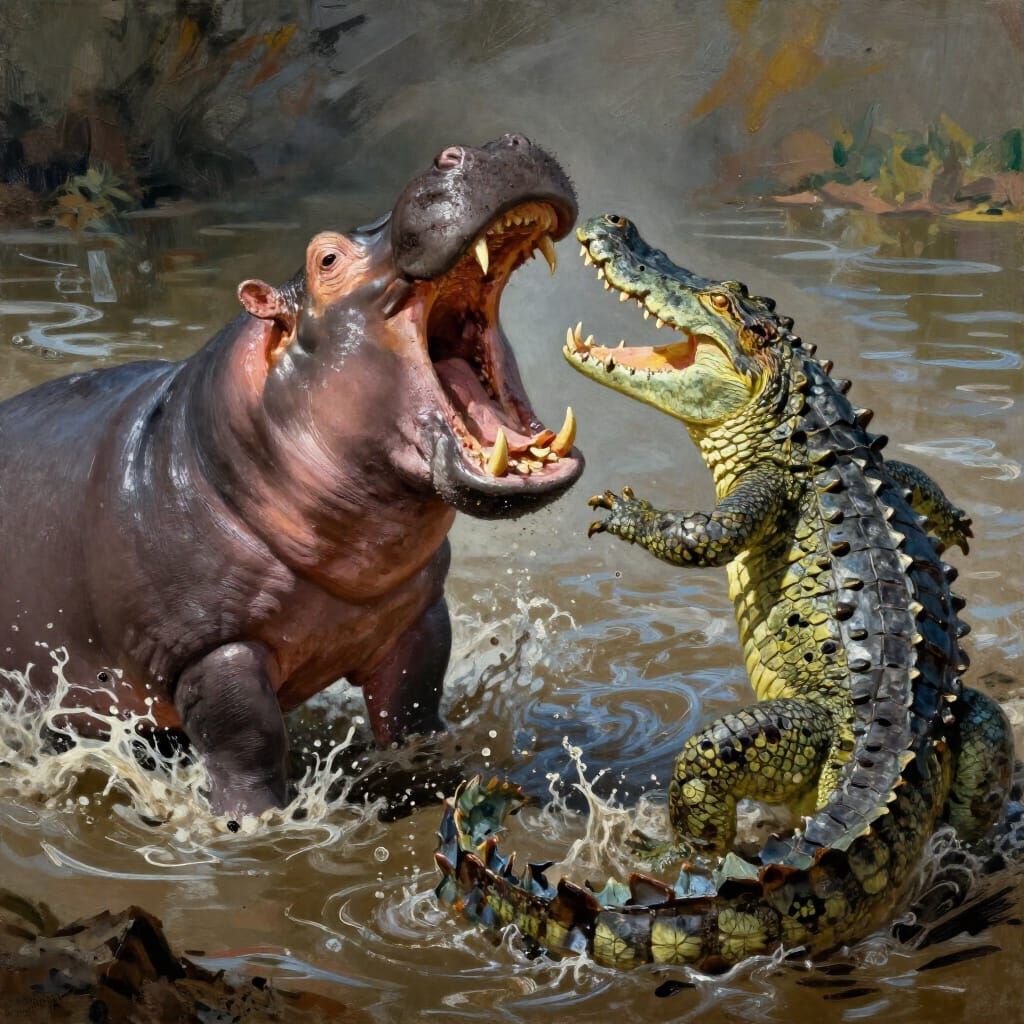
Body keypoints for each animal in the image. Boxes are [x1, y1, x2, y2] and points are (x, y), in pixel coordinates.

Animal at [0, 134, 582, 815]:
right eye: (326, 259)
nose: (484, 145)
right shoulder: (210, 651)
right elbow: (249, 746)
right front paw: (253, 822)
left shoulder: (414, 615)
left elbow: (413, 710)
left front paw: (434, 776)